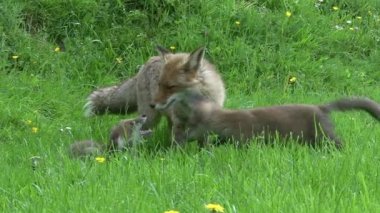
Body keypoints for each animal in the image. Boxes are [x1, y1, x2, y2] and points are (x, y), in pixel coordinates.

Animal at [84, 45, 226, 131]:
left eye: (171, 87)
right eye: (159, 84)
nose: (152, 104)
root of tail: (147, 62)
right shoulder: (178, 122)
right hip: (149, 119)